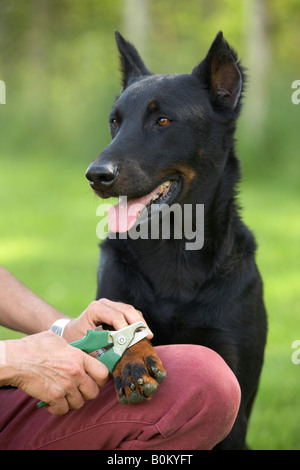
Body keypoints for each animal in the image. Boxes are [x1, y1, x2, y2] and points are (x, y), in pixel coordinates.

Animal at [86, 31, 268, 450]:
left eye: (163, 120)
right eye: (115, 122)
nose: (96, 175)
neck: (174, 250)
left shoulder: (233, 381)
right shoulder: (110, 303)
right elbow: (121, 327)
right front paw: (135, 358)